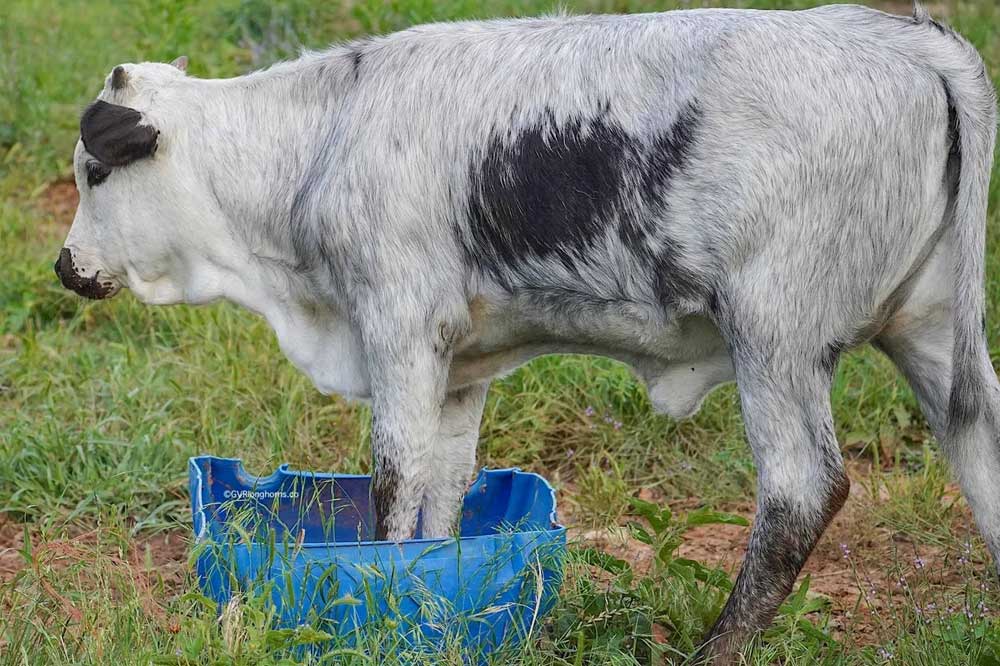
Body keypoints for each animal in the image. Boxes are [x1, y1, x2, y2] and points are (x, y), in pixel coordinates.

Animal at [56, 2, 1000, 660]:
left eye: (95, 171)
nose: (66, 266)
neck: (319, 141)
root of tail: (904, 40)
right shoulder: (460, 364)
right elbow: (442, 499)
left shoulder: (398, 325)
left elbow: (394, 489)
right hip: (928, 330)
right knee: (980, 445)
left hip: (776, 335)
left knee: (802, 491)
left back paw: (715, 649)